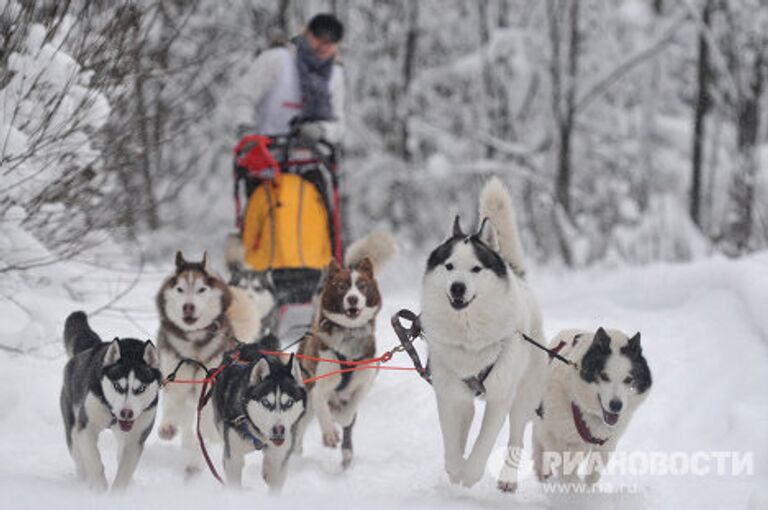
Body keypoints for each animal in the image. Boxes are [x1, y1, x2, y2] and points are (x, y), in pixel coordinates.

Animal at [155, 251, 234, 474]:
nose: (188, 306)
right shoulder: (174, 375)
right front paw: (168, 426)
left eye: (201, 289)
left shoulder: (208, 388)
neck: (193, 341)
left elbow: (206, 428)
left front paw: (196, 461)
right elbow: (173, 403)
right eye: (180, 289)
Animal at [296, 231, 396, 470]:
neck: (349, 336)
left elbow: (350, 413)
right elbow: (323, 408)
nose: (352, 298)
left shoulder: (364, 382)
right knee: (303, 423)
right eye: (341, 286)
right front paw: (330, 433)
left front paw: (342, 419)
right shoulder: (319, 385)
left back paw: (347, 454)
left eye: (362, 286)